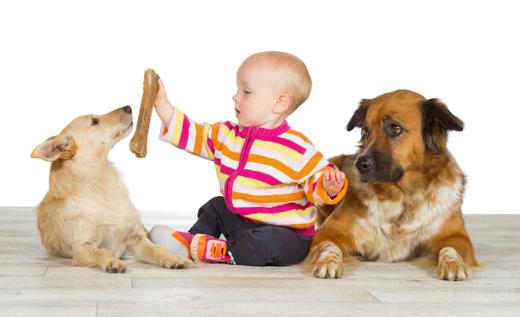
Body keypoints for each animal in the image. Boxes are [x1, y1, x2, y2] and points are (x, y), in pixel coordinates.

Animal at [32, 106, 191, 272]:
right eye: (94, 121)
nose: (128, 107)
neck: (99, 181)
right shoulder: (82, 247)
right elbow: (101, 252)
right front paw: (111, 262)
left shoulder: (136, 238)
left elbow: (156, 250)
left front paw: (172, 258)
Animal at [306, 90, 478, 280]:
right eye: (365, 131)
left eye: (395, 128)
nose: (360, 164)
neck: (402, 197)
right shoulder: (328, 232)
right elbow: (328, 246)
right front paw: (328, 261)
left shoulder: (457, 237)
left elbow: (451, 249)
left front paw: (453, 264)